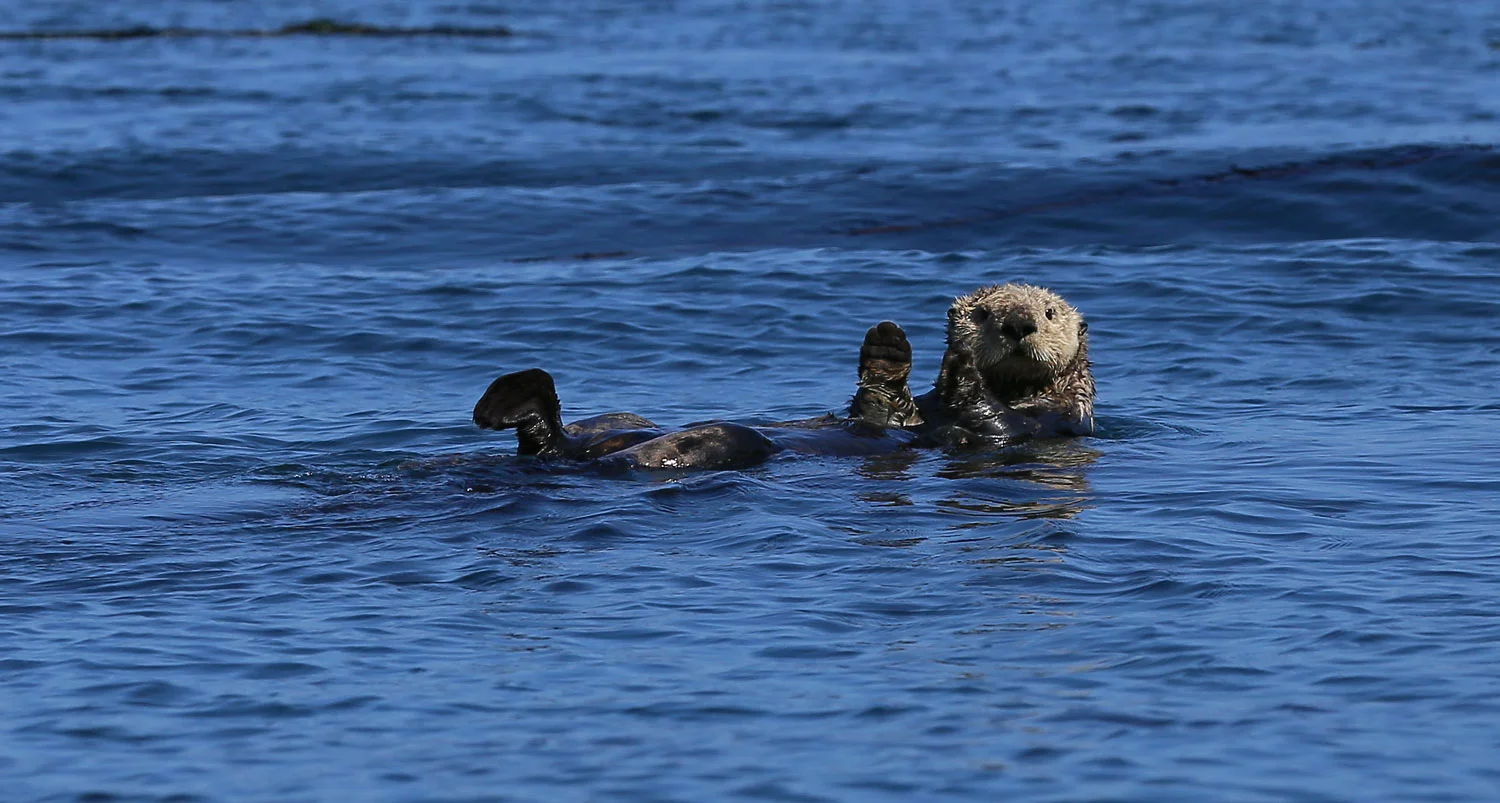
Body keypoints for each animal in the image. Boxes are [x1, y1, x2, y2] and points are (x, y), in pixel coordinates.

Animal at [473, 283, 1092, 471]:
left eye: (1048, 313)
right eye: (983, 313)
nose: (1017, 324)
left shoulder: (1052, 425)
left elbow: (994, 425)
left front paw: (961, 371)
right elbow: (881, 405)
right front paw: (888, 346)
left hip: (727, 443)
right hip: (618, 419)